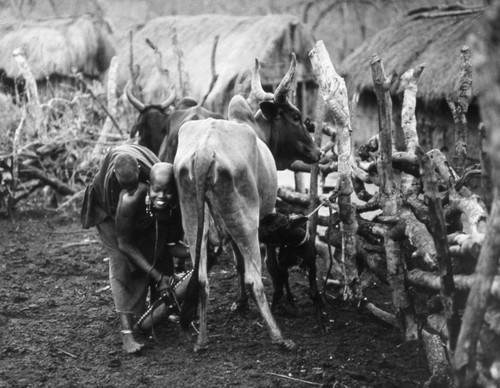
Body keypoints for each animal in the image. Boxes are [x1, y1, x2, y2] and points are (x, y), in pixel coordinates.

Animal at [172, 53, 320, 354]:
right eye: (296, 117)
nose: (317, 152)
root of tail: (204, 153)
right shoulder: (265, 218)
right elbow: (271, 266)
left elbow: (238, 264)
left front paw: (239, 304)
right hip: (246, 222)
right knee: (255, 279)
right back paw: (279, 336)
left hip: (194, 221)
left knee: (202, 278)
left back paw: (202, 340)